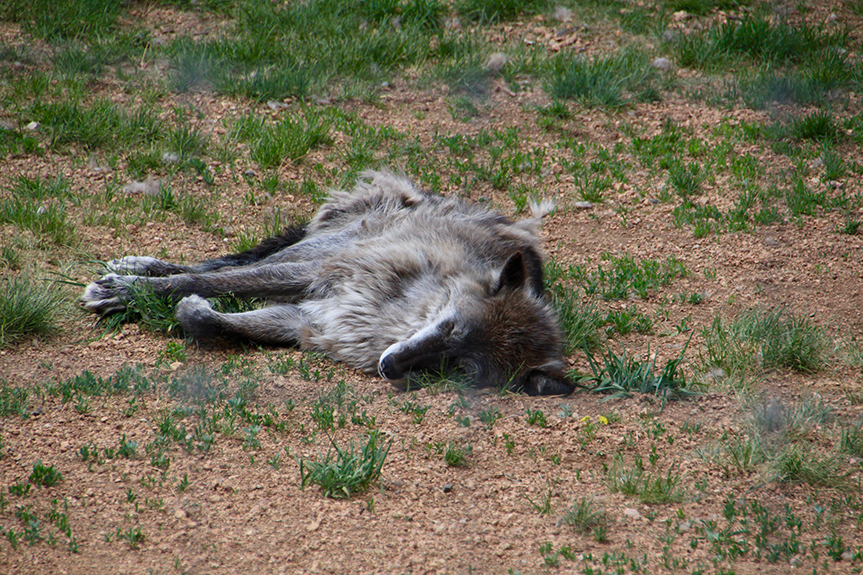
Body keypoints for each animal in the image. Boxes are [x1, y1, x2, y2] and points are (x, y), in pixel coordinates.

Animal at [82, 170, 572, 396]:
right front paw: (127, 291)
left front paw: (194, 312)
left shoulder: (310, 321)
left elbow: (217, 322)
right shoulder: (319, 276)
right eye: (450, 326)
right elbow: (217, 282)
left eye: (461, 369)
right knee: (219, 266)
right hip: (318, 249)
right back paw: (135, 270)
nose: (390, 367)